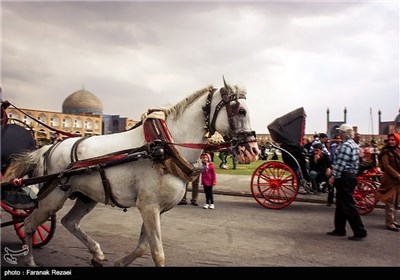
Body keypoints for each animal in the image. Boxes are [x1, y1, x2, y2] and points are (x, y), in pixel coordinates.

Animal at [1, 79, 260, 266]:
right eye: (240, 110)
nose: (253, 150)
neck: (164, 146)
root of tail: (50, 147)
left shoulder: (155, 207)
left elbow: (144, 246)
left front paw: (119, 263)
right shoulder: (148, 205)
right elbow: (157, 252)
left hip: (86, 196)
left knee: (68, 221)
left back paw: (96, 254)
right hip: (54, 196)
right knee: (30, 224)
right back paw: (30, 261)